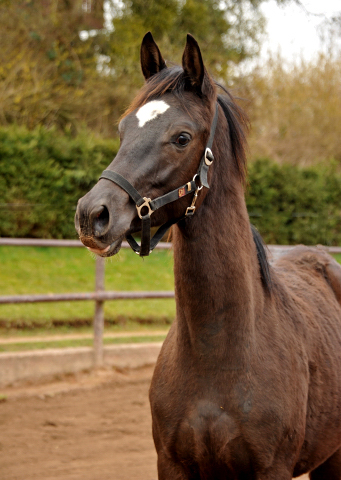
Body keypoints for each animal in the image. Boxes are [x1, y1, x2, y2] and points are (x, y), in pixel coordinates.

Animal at [75, 31, 341, 478]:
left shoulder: (272, 468)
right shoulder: (172, 464)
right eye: (123, 129)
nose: (93, 214)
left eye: (181, 137)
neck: (218, 353)